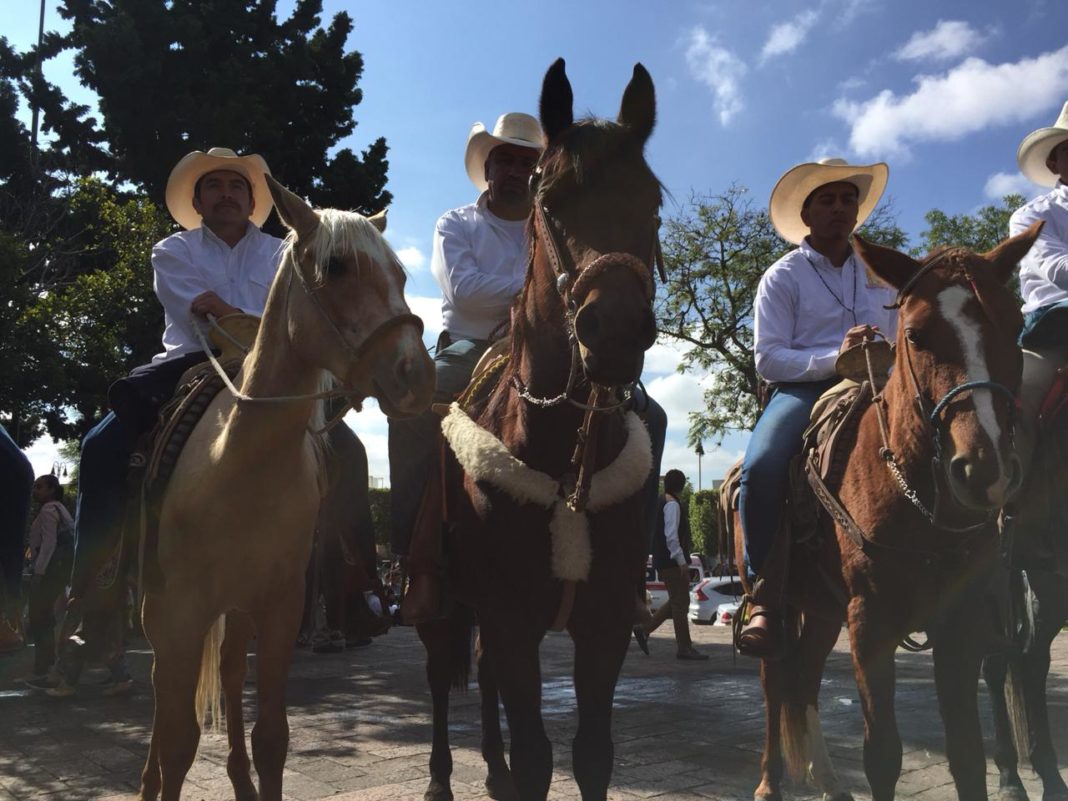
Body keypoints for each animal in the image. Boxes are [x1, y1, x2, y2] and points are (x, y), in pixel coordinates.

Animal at [420, 57, 662, 801]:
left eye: (652, 204)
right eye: (549, 200)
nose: (614, 330)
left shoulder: (604, 624)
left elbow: (591, 754)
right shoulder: (507, 614)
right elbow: (535, 756)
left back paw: (489, 767)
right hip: (441, 599)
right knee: (440, 673)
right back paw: (442, 778)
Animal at [734, 224, 1042, 801]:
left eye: (1015, 328)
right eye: (916, 335)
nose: (984, 470)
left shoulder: (960, 621)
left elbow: (967, 754)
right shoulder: (870, 622)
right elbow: (882, 755)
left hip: (824, 610)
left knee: (804, 679)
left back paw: (829, 781)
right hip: (779, 601)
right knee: (775, 683)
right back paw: (769, 781)